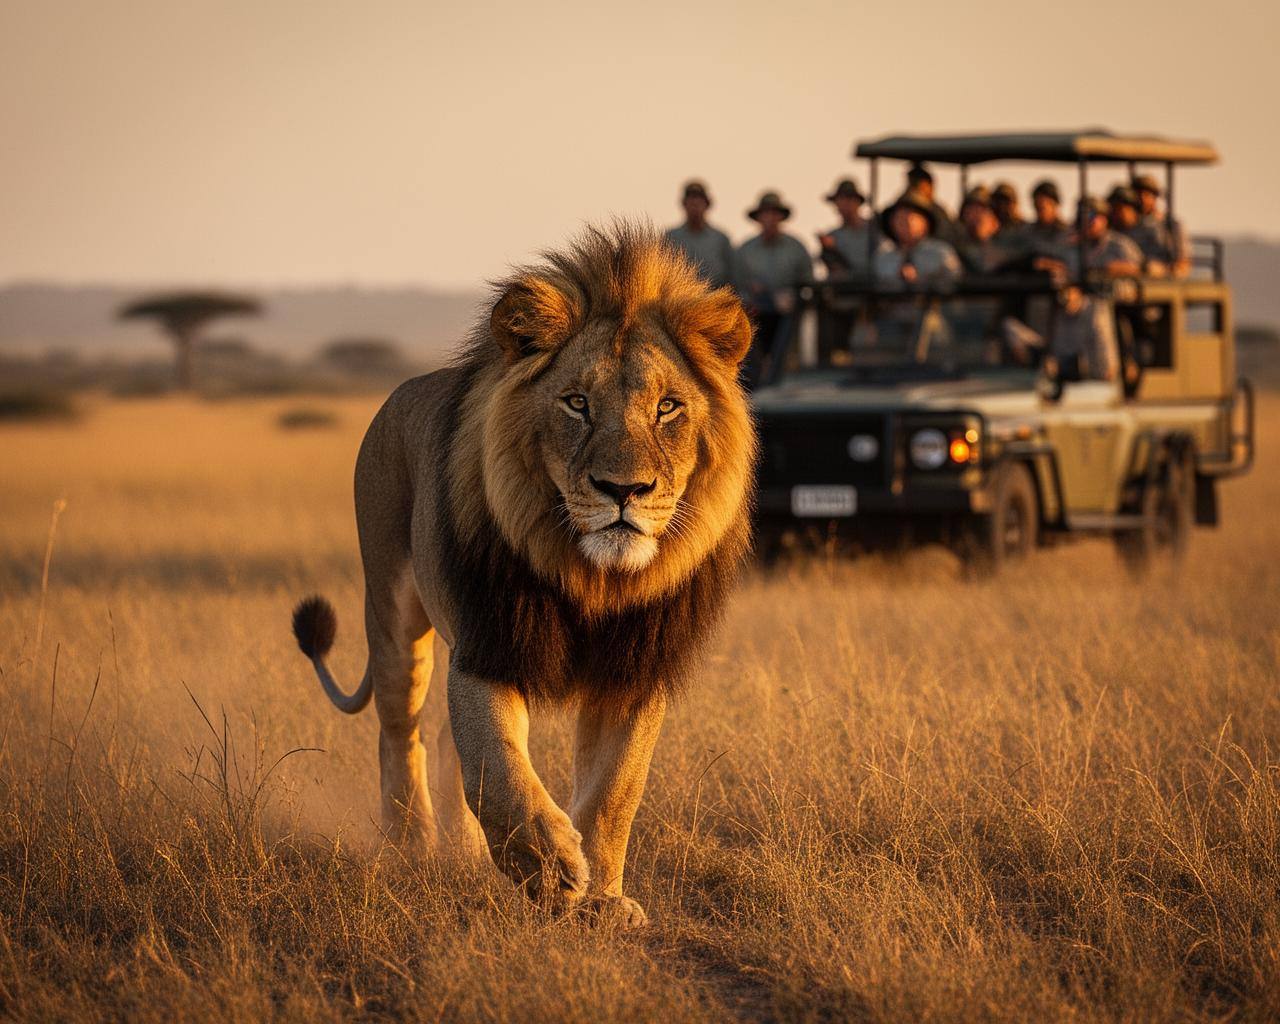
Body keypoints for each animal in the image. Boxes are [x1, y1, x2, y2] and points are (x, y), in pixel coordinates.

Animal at [291, 222, 755, 926]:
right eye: (576, 404)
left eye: (668, 407)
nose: (624, 490)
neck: (594, 577)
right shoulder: (490, 645)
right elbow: (496, 765)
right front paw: (547, 866)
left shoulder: (635, 670)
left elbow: (615, 789)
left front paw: (604, 899)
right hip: (392, 614)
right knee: (401, 731)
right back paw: (411, 847)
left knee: (442, 744)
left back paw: (462, 851)